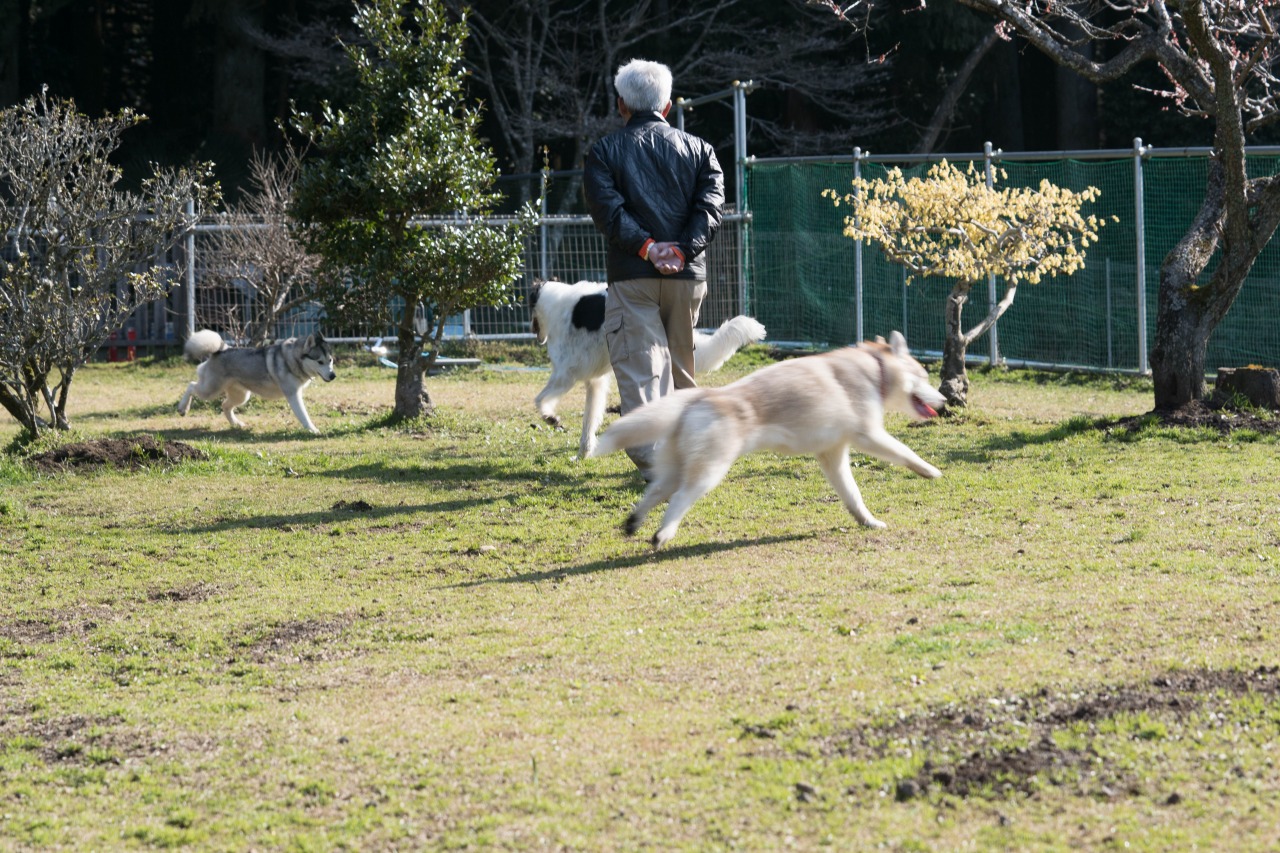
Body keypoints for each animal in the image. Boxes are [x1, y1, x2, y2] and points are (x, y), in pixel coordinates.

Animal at [176, 325, 335, 432]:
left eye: (330, 360)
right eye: (320, 361)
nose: (333, 376)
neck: (293, 359)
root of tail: (222, 349)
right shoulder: (293, 394)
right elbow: (303, 415)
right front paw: (313, 429)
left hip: (241, 396)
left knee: (225, 405)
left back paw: (236, 424)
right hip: (210, 390)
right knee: (191, 386)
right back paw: (183, 408)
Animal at [586, 327, 942, 548]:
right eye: (924, 377)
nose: (943, 401)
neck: (875, 369)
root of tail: (702, 397)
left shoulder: (832, 454)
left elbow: (852, 495)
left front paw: (867, 521)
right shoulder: (869, 435)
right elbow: (905, 452)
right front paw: (930, 471)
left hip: (675, 467)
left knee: (655, 491)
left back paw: (634, 522)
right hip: (708, 473)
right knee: (679, 499)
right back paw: (663, 534)